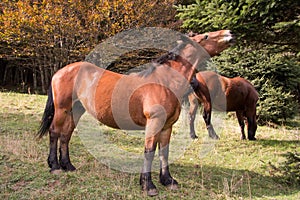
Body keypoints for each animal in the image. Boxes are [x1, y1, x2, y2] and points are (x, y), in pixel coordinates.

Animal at [37, 30, 236, 197]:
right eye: (206, 36)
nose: (230, 33)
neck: (164, 82)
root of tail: (60, 71)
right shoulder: (154, 123)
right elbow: (149, 151)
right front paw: (148, 186)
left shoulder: (167, 126)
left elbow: (164, 152)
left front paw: (168, 181)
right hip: (62, 109)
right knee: (54, 132)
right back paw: (55, 166)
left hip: (76, 110)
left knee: (66, 135)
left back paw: (68, 166)